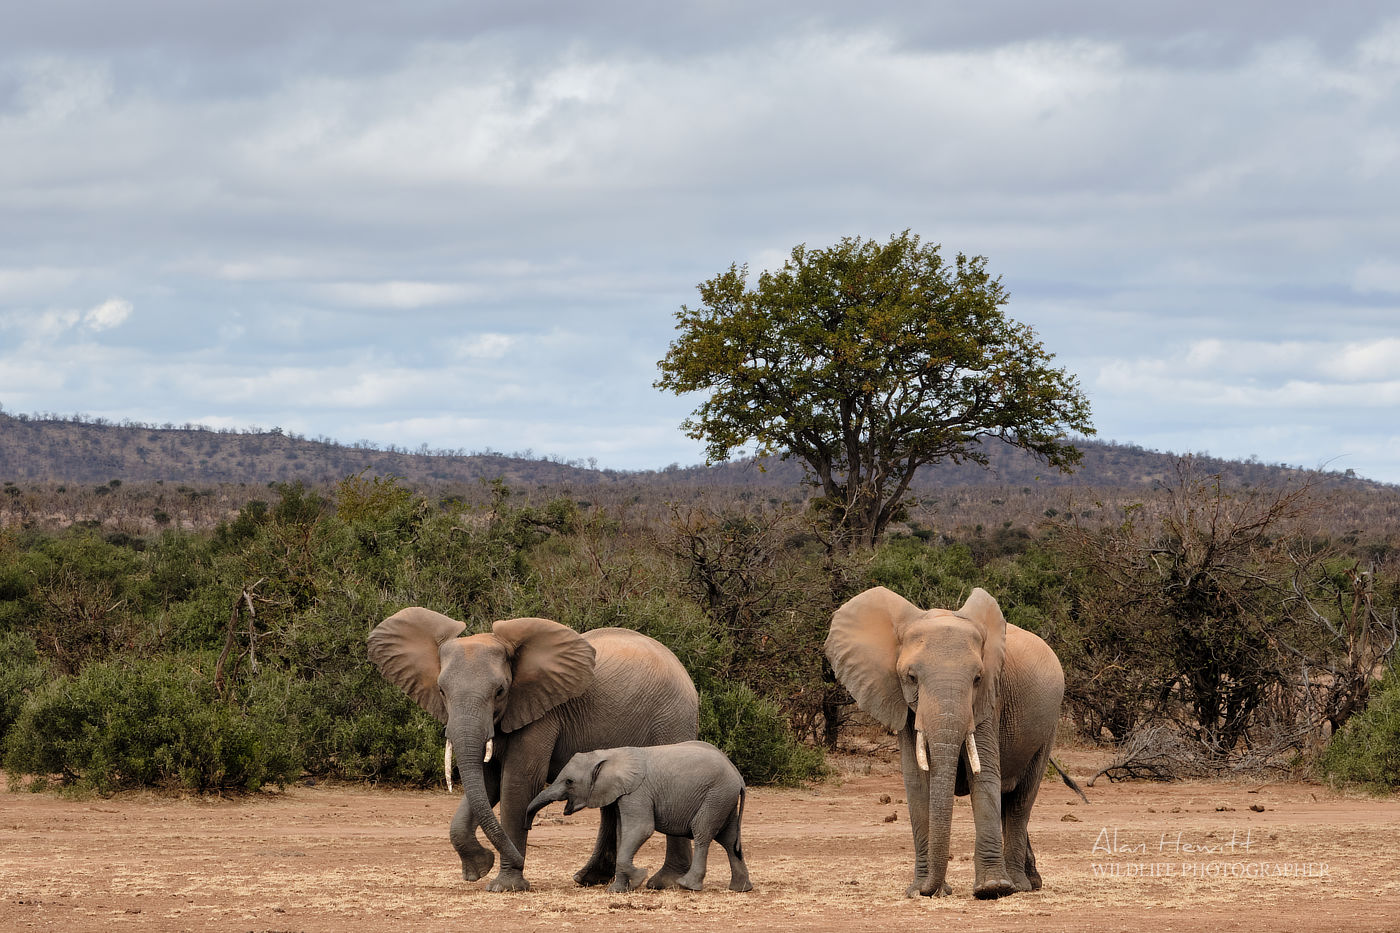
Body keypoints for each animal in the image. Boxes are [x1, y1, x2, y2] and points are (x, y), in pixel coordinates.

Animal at [366, 607, 700, 890]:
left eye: (500, 691)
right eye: (441, 691)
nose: (513, 857)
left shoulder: (542, 712)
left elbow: (518, 781)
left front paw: (505, 885)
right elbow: (485, 782)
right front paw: (478, 869)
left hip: (673, 717)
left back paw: (665, 882)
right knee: (611, 801)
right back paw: (588, 879)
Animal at [523, 739, 750, 890]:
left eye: (569, 782)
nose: (528, 826)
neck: (609, 755)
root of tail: (737, 775)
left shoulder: (637, 792)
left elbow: (641, 829)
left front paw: (640, 878)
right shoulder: (622, 795)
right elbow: (622, 833)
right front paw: (617, 890)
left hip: (716, 795)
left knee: (702, 831)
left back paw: (686, 885)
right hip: (723, 798)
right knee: (729, 839)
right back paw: (740, 888)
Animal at [823, 585, 1075, 896]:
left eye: (977, 678)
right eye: (911, 677)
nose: (934, 889)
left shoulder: (989, 701)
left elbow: (985, 774)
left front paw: (992, 889)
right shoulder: (905, 706)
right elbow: (917, 781)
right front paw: (920, 890)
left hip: (1049, 724)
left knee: (1020, 801)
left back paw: (1020, 885)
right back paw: (1031, 881)